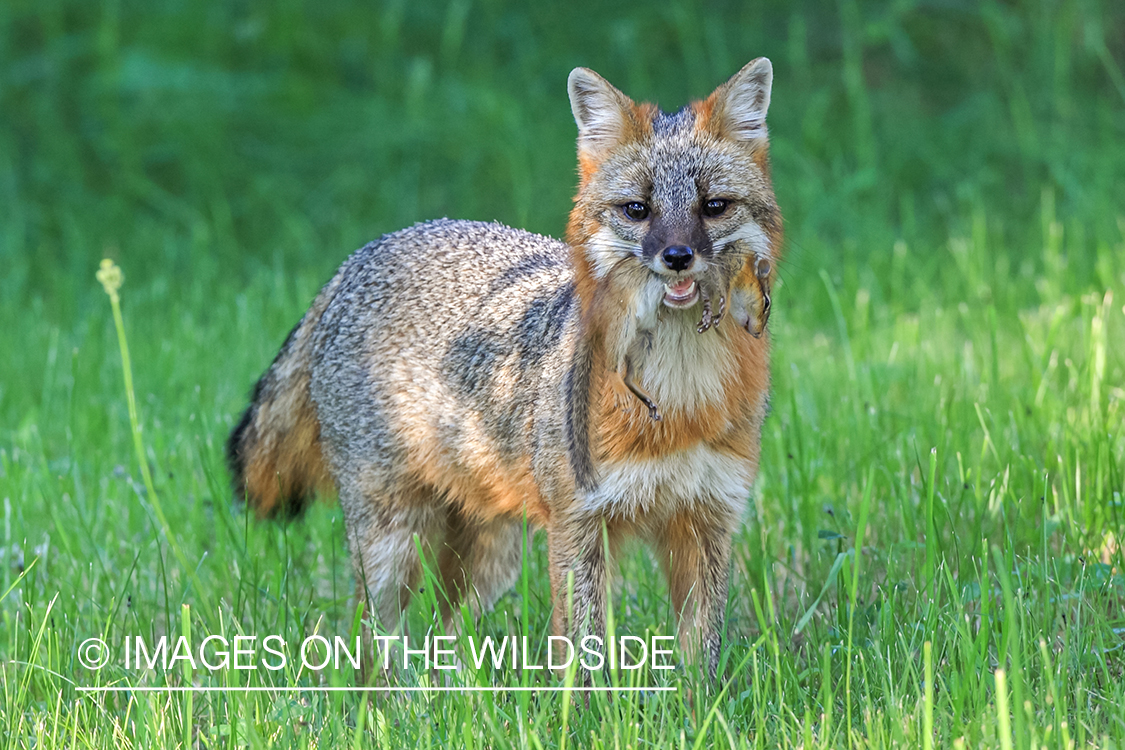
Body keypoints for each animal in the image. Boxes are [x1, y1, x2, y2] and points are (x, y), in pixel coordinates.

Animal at [223, 60, 778, 679]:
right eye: (638, 209)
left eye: (714, 206)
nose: (677, 257)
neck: (679, 401)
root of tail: (356, 259)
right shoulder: (579, 525)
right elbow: (583, 658)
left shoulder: (707, 521)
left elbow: (701, 663)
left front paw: (699, 703)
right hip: (394, 549)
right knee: (374, 648)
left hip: (489, 560)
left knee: (443, 647)